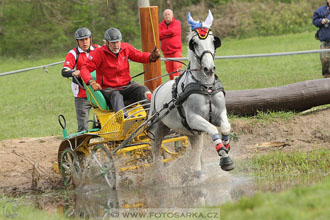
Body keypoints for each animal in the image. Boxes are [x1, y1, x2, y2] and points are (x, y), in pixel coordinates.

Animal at [147, 10, 235, 176]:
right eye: (194, 43)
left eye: (213, 41)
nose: (209, 69)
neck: (206, 87)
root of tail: (156, 89)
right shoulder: (194, 118)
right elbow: (213, 129)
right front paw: (224, 156)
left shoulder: (219, 113)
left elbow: (226, 127)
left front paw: (226, 153)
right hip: (158, 128)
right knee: (155, 151)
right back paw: (159, 175)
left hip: (191, 133)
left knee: (196, 151)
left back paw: (197, 172)